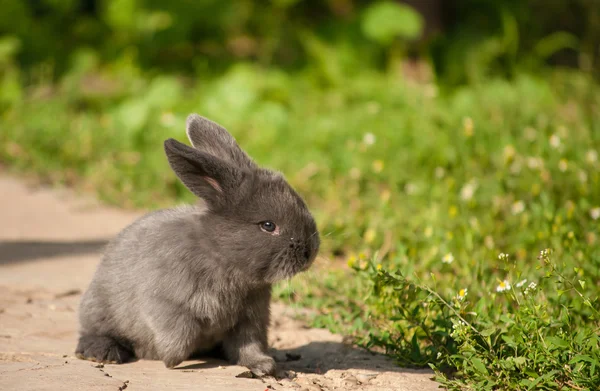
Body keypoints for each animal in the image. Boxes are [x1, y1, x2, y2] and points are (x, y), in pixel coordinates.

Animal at [75, 114, 322, 376]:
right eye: (268, 225)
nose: (310, 252)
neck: (219, 255)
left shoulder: (250, 319)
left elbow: (249, 345)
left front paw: (263, 366)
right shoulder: (166, 306)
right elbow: (179, 337)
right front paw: (170, 359)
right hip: (100, 308)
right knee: (93, 331)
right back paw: (103, 353)